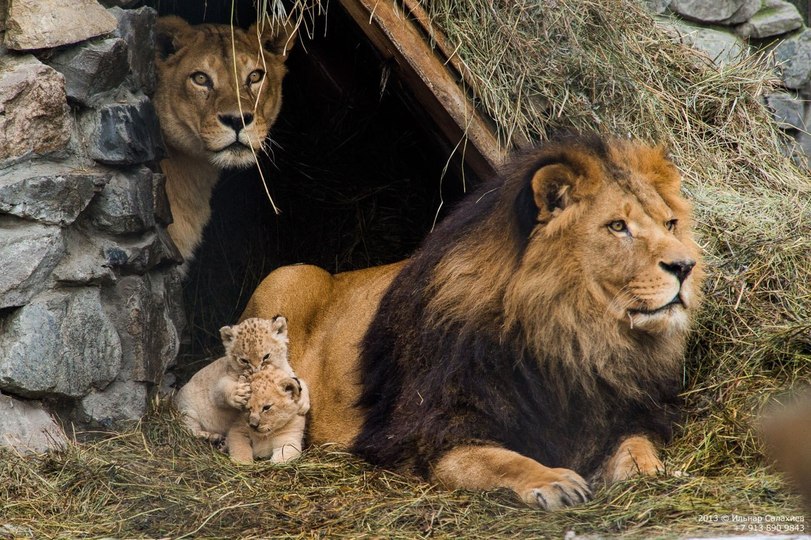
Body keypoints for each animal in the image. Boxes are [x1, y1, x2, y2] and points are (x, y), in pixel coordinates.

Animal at [240, 134, 704, 509]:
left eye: (670, 223)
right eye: (617, 226)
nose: (685, 266)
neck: (574, 337)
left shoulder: (622, 415)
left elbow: (637, 447)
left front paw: (658, 473)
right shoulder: (439, 434)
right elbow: (504, 461)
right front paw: (553, 481)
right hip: (288, 275)